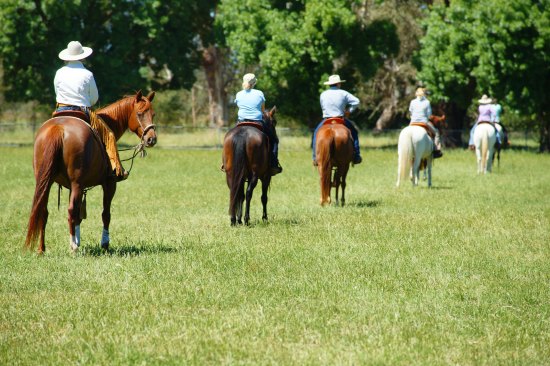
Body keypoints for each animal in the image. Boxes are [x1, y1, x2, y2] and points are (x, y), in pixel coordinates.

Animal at [25, 90, 157, 253]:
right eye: (139, 113)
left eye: (153, 114)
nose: (151, 139)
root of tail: (59, 129)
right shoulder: (109, 183)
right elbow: (105, 214)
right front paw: (104, 243)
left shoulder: (76, 187)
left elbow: (78, 215)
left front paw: (78, 238)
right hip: (75, 183)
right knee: (70, 210)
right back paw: (73, 247)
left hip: (46, 181)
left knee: (43, 210)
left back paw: (42, 249)